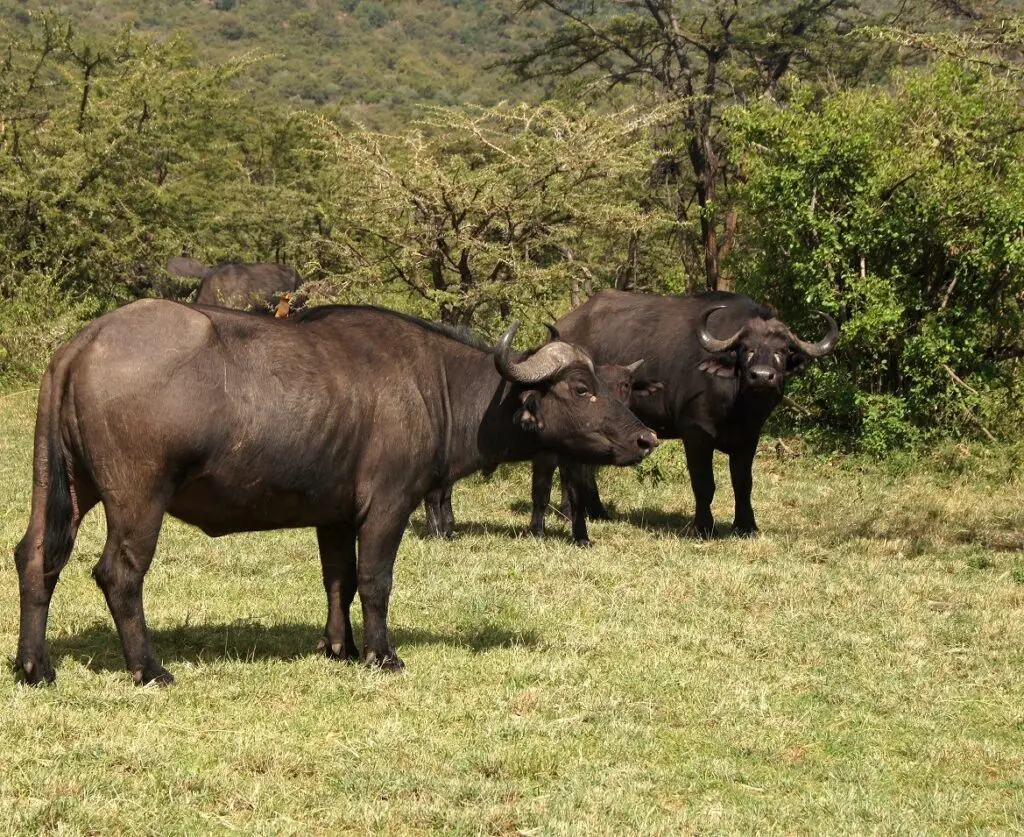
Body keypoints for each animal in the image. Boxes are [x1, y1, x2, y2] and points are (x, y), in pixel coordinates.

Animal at [14, 301, 657, 685]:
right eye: (581, 388)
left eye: (610, 385)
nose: (645, 437)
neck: (434, 384)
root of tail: (83, 344)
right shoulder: (387, 507)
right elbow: (374, 581)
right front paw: (381, 653)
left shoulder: (334, 516)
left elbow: (337, 579)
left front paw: (337, 647)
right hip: (137, 498)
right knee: (118, 574)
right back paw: (150, 669)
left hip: (64, 485)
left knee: (36, 558)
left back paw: (33, 666)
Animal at [546, 290, 838, 538]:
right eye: (746, 349)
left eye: (782, 351)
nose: (762, 376)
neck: (738, 406)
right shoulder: (696, 434)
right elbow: (703, 483)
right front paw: (704, 527)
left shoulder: (749, 437)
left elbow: (743, 483)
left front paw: (746, 526)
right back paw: (570, 512)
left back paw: (593, 511)